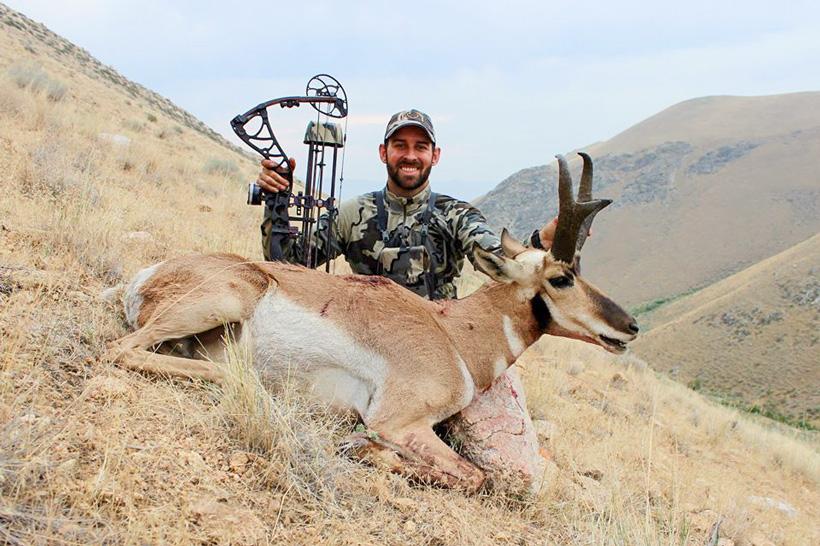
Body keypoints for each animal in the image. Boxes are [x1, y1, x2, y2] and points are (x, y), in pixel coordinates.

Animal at [106, 153, 638, 492]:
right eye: (562, 277)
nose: (631, 327)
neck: (453, 333)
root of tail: (146, 277)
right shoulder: (397, 421)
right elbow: (474, 476)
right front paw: (360, 448)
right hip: (228, 297)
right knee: (125, 351)